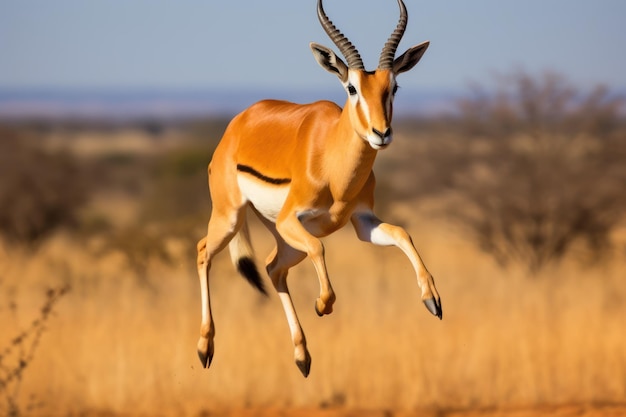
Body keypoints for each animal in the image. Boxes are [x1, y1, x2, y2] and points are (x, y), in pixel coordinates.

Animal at [197, 0, 442, 376]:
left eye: (394, 87)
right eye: (351, 88)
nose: (381, 133)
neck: (333, 164)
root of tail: (235, 127)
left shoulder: (363, 222)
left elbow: (403, 233)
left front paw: (432, 300)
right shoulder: (292, 219)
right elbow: (320, 249)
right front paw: (322, 304)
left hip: (283, 240)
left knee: (272, 268)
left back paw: (302, 356)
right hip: (231, 218)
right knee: (203, 253)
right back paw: (205, 348)